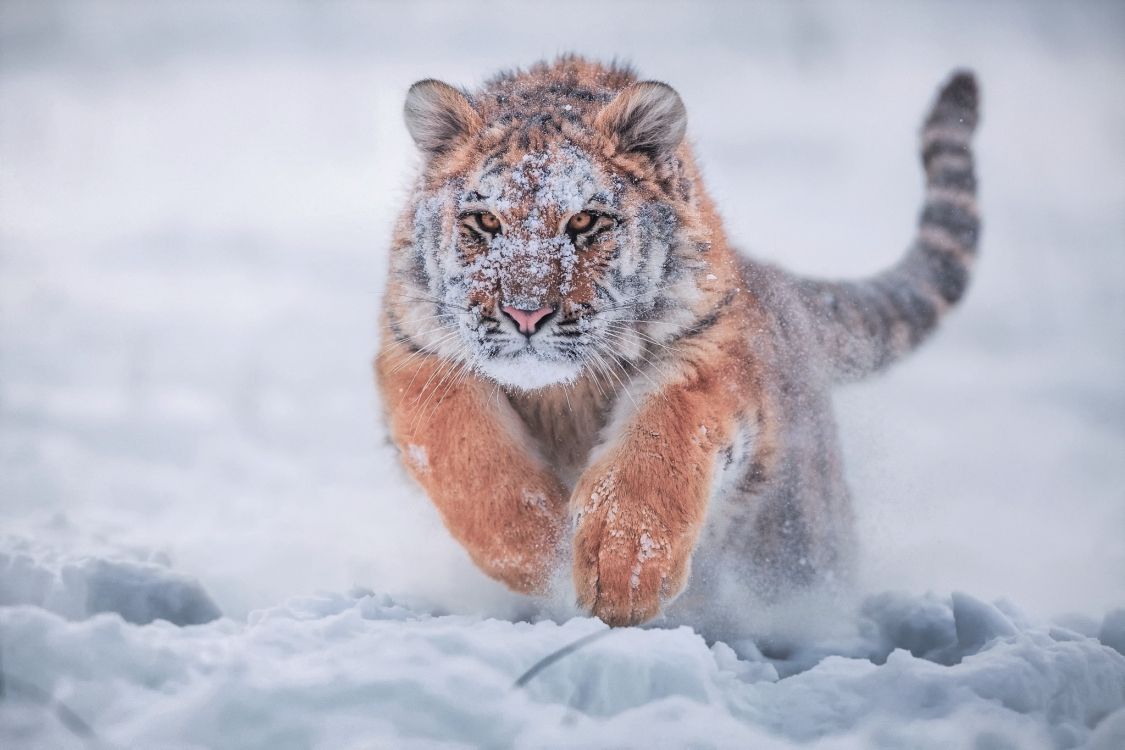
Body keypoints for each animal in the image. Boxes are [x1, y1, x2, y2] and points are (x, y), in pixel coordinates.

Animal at [375, 56, 980, 627]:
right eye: (484, 221)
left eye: (585, 221)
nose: (527, 313)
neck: (562, 394)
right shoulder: (418, 355)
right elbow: (468, 457)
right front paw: (541, 552)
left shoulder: (704, 354)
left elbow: (658, 443)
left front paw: (623, 572)